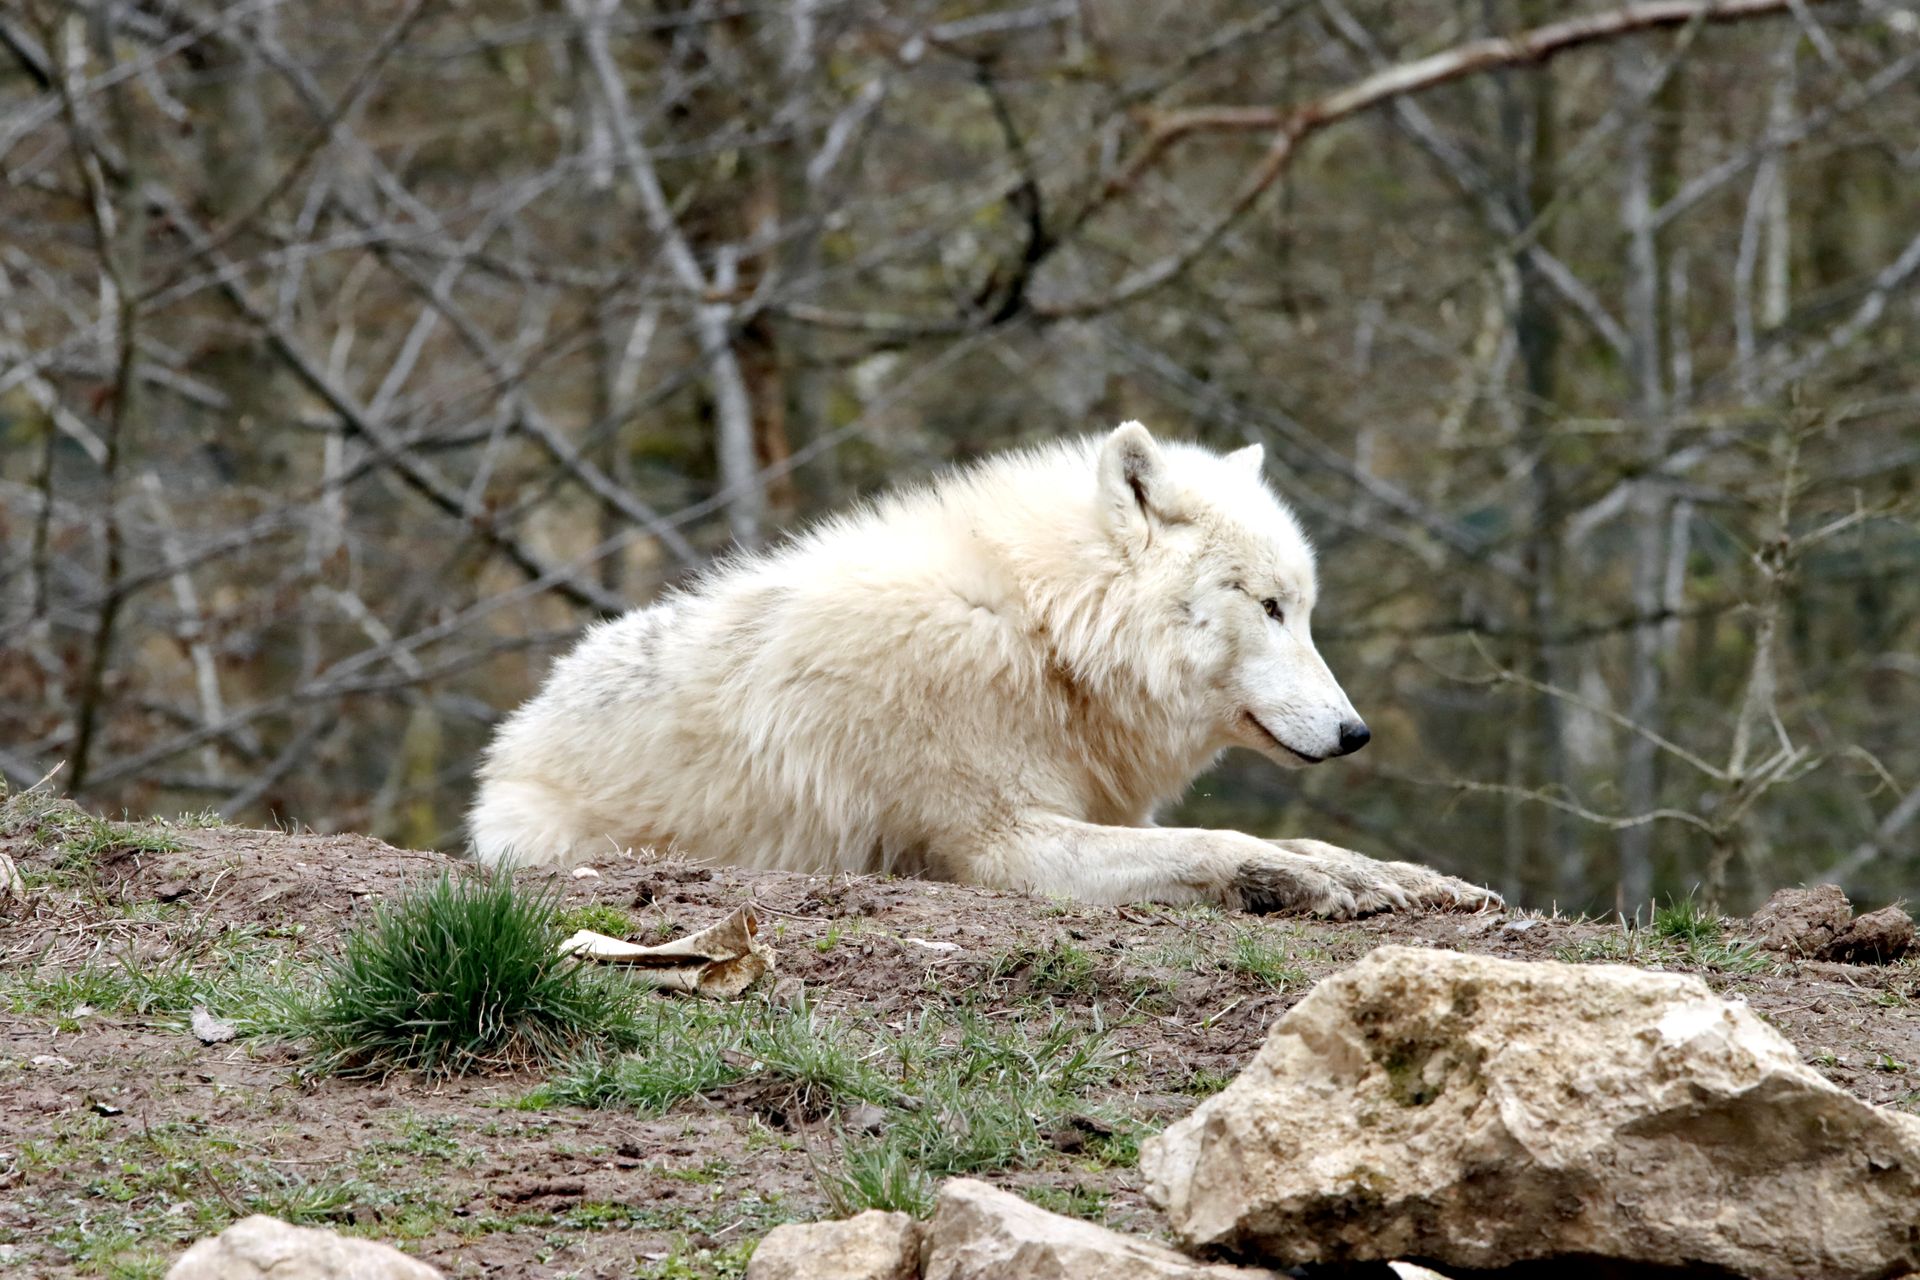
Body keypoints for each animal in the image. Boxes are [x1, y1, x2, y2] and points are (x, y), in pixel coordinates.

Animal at [469, 423, 1497, 917]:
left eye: (1305, 608)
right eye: (1272, 607)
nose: (1357, 733)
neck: (1043, 637)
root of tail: (515, 734)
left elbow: (1306, 841)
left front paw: (1408, 878)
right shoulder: (1001, 847)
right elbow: (1221, 843)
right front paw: (1305, 885)